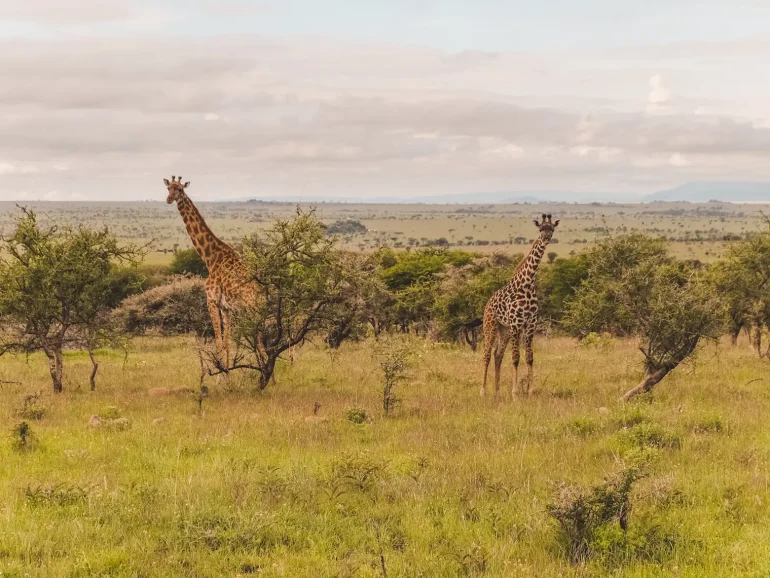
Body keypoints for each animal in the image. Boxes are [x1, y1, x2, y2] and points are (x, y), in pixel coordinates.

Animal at [162, 173, 264, 368]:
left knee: (261, 341)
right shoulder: (226, 308)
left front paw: (221, 373)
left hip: (251, 308)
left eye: (180, 189)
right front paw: (228, 374)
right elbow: (227, 344)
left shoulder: (211, 300)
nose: (169, 199)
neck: (210, 258)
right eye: (168, 187)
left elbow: (218, 342)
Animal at [480, 212, 560, 396]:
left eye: (551, 229)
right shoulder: (516, 324)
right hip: (491, 326)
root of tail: (487, 303)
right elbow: (516, 358)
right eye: (541, 228)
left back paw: (497, 392)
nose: (546, 238)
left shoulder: (530, 323)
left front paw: (530, 390)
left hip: (504, 330)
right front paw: (515, 392)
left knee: (498, 355)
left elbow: (529, 357)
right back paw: (483, 391)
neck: (528, 284)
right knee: (487, 355)